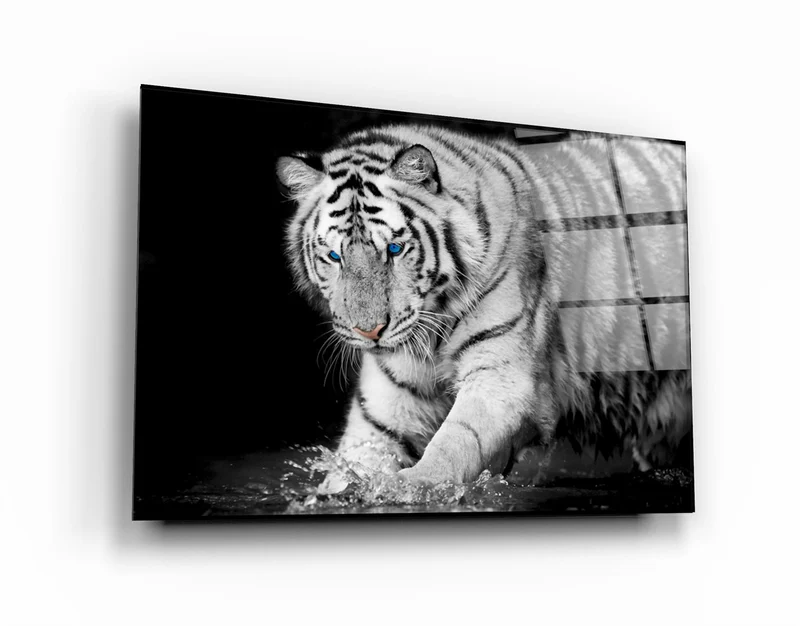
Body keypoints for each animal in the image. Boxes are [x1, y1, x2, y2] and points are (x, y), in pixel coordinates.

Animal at [276, 124, 692, 492]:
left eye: (394, 249)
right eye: (334, 256)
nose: (370, 331)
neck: (431, 334)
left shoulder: (502, 378)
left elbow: (456, 441)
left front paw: (414, 485)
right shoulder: (387, 403)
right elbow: (359, 456)